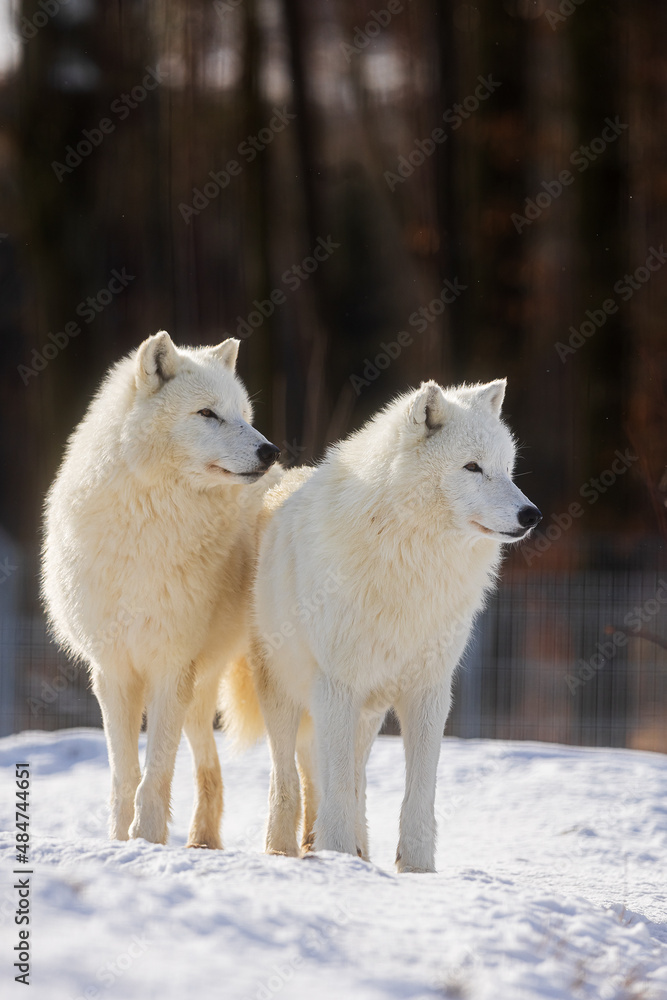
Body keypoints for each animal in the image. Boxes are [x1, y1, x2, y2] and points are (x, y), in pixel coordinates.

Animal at [42, 331, 281, 848]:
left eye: (243, 414)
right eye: (208, 413)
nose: (270, 450)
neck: (149, 531)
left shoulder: (171, 667)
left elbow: (156, 773)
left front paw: (148, 839)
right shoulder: (113, 671)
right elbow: (123, 773)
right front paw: (120, 841)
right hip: (198, 689)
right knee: (209, 767)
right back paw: (202, 841)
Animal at [236, 378, 541, 872]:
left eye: (507, 470)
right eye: (472, 467)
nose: (531, 515)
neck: (412, 561)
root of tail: (284, 479)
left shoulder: (429, 691)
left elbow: (418, 790)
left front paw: (415, 867)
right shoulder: (337, 686)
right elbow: (336, 784)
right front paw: (338, 854)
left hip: (368, 712)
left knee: (351, 778)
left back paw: (357, 851)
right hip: (284, 694)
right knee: (288, 778)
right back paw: (284, 850)